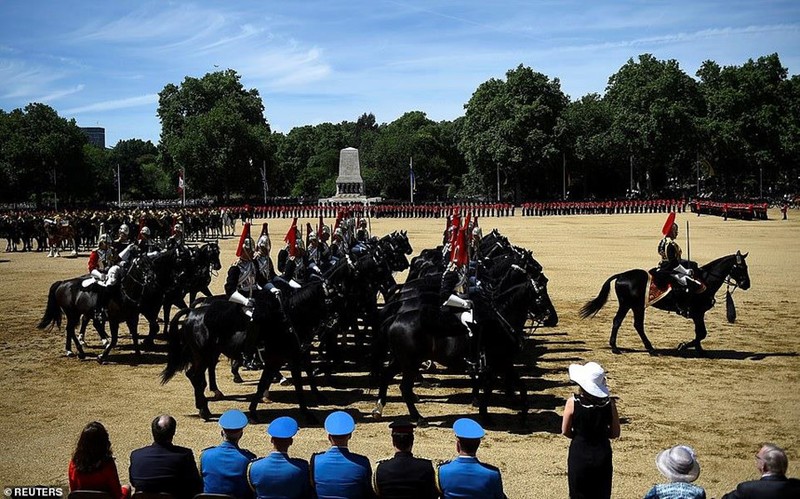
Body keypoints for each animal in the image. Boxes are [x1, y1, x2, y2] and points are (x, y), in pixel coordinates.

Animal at [580, 252, 752, 354]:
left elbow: (700, 333)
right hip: (631, 305)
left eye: (746, 266)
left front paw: (699, 350)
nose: (746, 284)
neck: (705, 281)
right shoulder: (697, 313)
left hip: (632, 306)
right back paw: (630, 348)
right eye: (741, 267)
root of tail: (622, 275)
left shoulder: (699, 314)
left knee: (628, 323)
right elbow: (701, 333)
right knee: (627, 323)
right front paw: (683, 346)